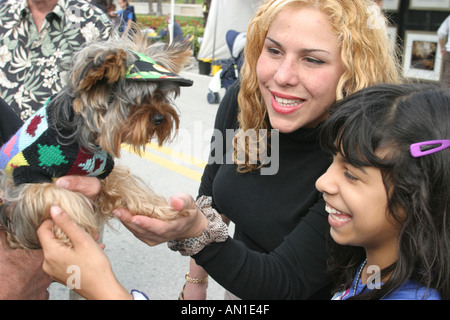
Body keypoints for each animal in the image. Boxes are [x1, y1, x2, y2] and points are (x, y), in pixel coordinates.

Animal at [0, 26, 192, 250]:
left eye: (159, 95)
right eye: (135, 101)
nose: (160, 118)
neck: (80, 137)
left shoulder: (100, 168)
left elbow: (126, 182)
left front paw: (160, 209)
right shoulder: (26, 178)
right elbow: (60, 196)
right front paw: (75, 236)